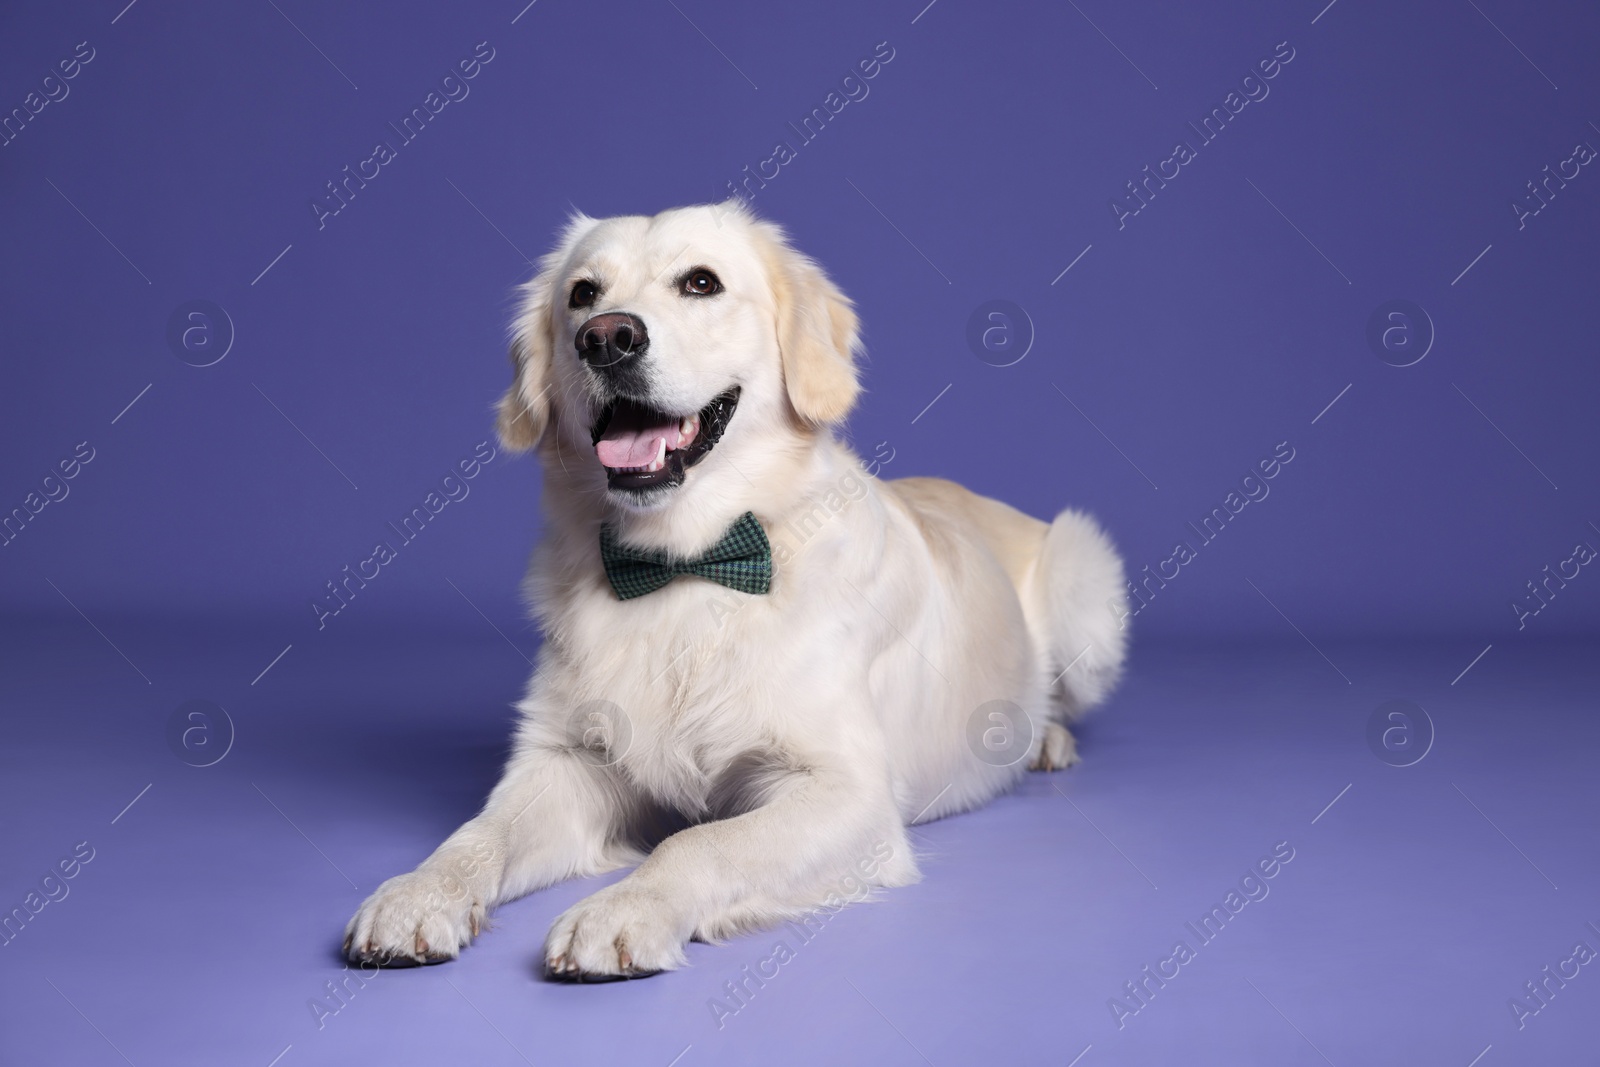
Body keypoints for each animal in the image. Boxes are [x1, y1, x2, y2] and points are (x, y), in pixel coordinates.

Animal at [344, 204, 1132, 979]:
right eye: (582, 295)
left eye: (701, 282)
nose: (607, 337)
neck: (685, 565)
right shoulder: (568, 759)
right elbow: (479, 832)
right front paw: (417, 893)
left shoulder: (845, 790)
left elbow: (699, 842)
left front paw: (623, 909)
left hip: (1083, 576)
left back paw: (1045, 737)